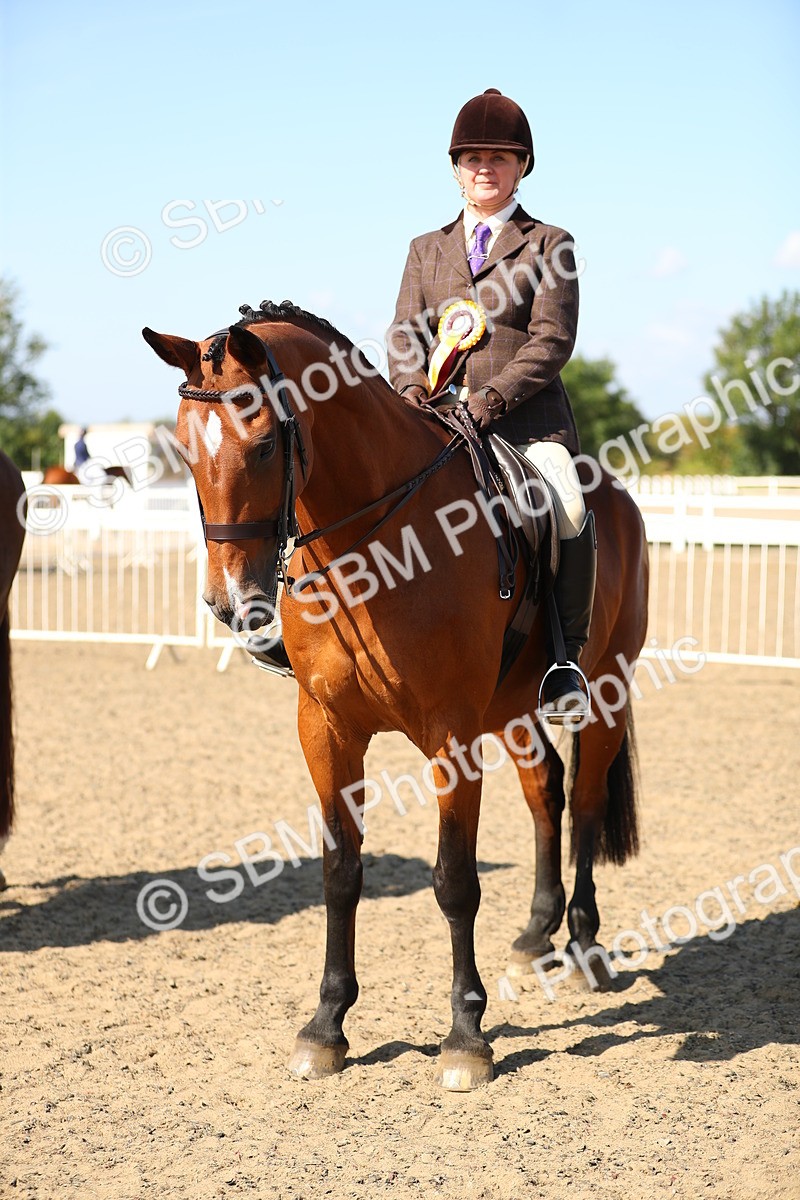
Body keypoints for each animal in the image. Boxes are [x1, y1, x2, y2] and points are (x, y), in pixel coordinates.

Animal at [143, 300, 649, 1091]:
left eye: (264, 447)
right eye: (186, 452)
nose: (230, 604)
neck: (369, 550)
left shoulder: (451, 735)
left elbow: (455, 880)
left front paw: (467, 1037)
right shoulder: (326, 729)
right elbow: (340, 872)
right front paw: (325, 1026)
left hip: (606, 689)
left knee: (588, 804)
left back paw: (585, 948)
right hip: (515, 712)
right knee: (547, 796)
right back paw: (536, 936)